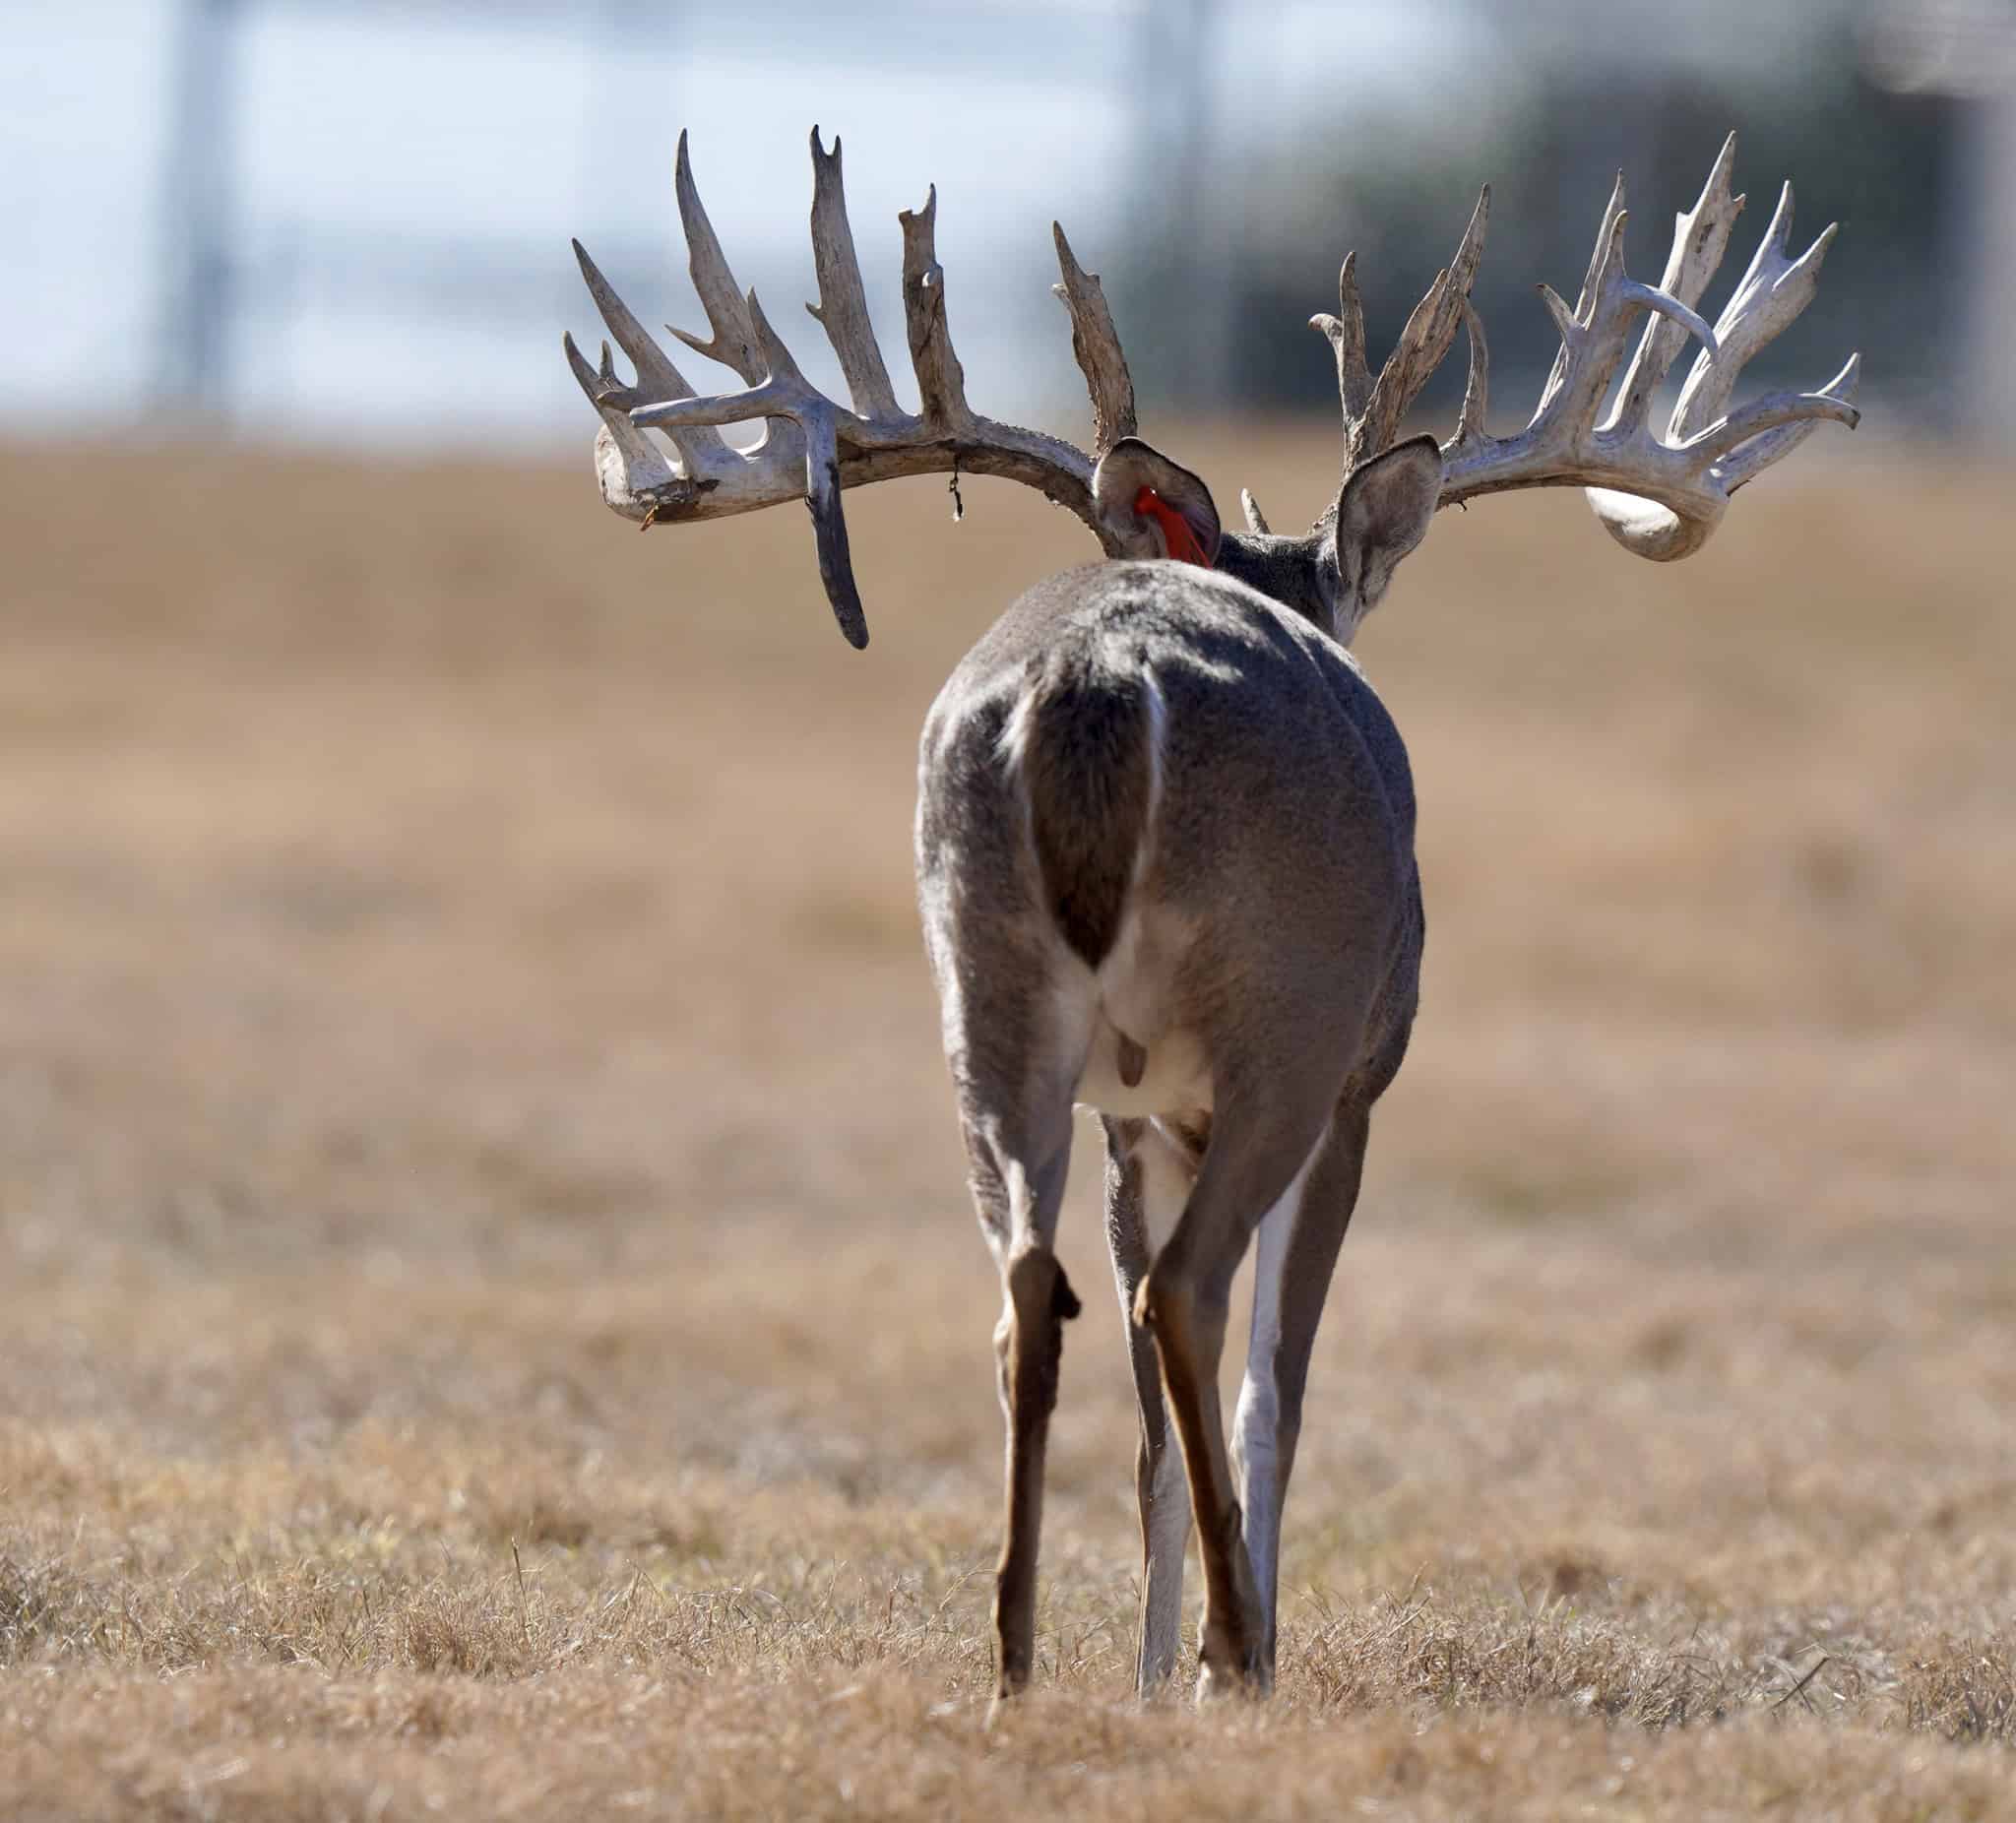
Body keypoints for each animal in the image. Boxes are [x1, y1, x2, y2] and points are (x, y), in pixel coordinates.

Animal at [564, 128, 1858, 1705]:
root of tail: (1094, 680)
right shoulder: (1356, 1081)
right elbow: (1270, 1388)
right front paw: (1218, 1657)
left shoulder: (1138, 1113)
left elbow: (1143, 1435)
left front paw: (1143, 1667)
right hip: (1283, 1023)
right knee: (1183, 1298)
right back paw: (1232, 1646)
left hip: (991, 996)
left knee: (1031, 1293)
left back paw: (1015, 1659)